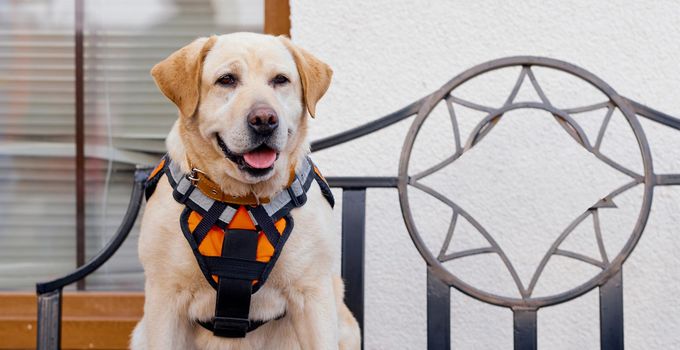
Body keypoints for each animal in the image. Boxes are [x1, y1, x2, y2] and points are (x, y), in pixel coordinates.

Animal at [129, 32, 358, 350]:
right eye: (227, 80)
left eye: (280, 80)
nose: (264, 120)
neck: (241, 199)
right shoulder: (165, 298)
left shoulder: (313, 295)